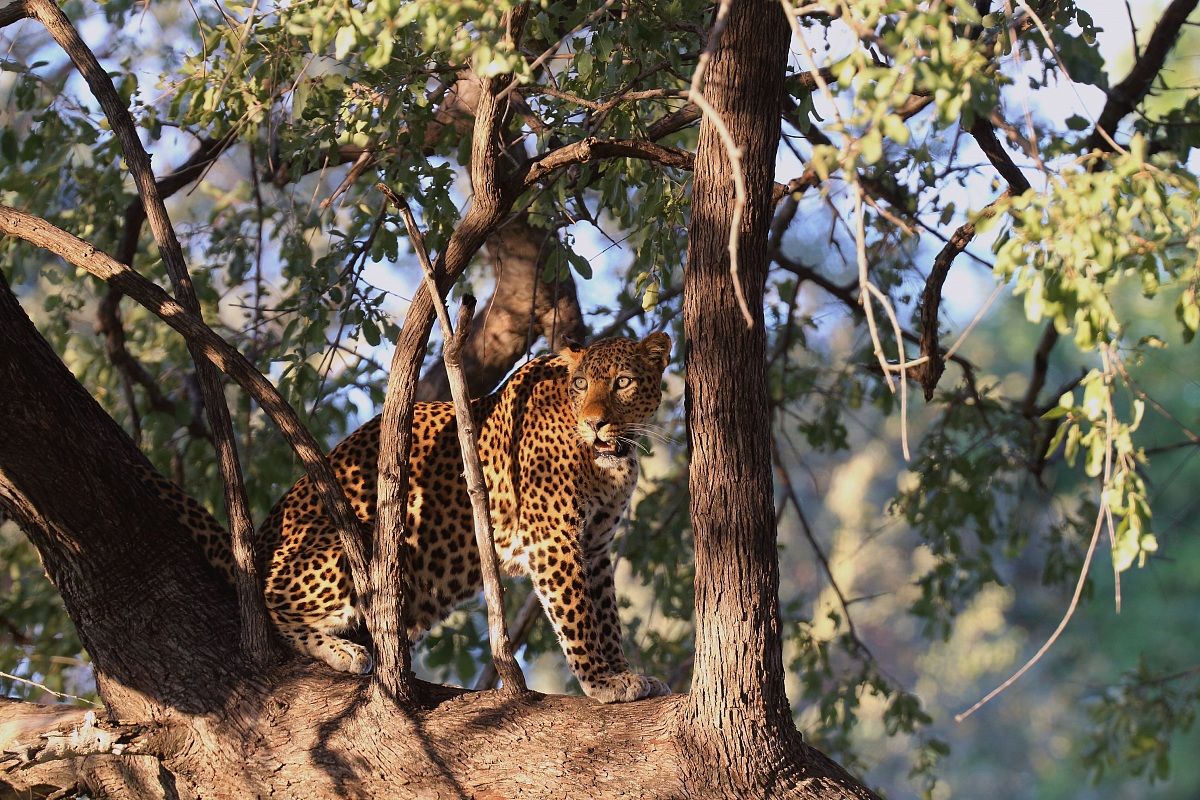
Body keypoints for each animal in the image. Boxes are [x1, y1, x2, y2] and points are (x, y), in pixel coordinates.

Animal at [238, 332, 674, 703]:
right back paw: (344, 650)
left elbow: (607, 616)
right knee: (270, 601)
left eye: (623, 382)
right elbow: (578, 614)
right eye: (581, 384)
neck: (608, 463)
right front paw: (601, 681)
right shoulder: (553, 538)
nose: (595, 423)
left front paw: (625, 672)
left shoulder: (595, 546)